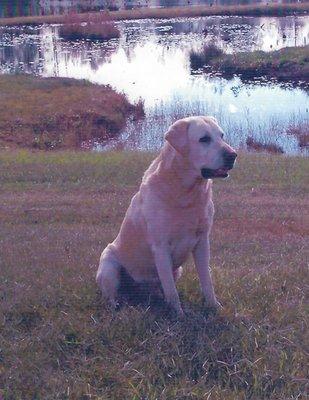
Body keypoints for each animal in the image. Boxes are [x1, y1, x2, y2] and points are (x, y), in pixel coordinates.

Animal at [96, 115, 236, 316]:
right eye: (204, 139)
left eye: (221, 136)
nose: (233, 155)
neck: (186, 193)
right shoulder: (160, 247)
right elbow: (171, 290)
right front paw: (179, 315)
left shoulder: (202, 242)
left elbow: (206, 281)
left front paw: (214, 306)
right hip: (108, 266)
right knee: (112, 296)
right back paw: (118, 306)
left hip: (178, 270)